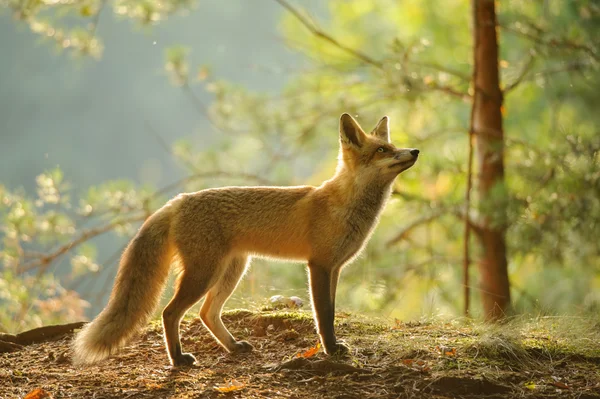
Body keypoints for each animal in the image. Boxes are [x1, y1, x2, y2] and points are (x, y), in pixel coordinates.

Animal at [72, 114, 420, 368]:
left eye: (391, 145)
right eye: (382, 151)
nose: (415, 151)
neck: (344, 205)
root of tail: (179, 200)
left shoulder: (334, 268)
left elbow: (331, 312)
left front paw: (332, 348)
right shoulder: (318, 265)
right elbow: (324, 315)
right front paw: (331, 351)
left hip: (232, 270)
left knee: (207, 313)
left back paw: (231, 347)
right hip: (205, 273)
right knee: (171, 313)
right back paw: (179, 360)